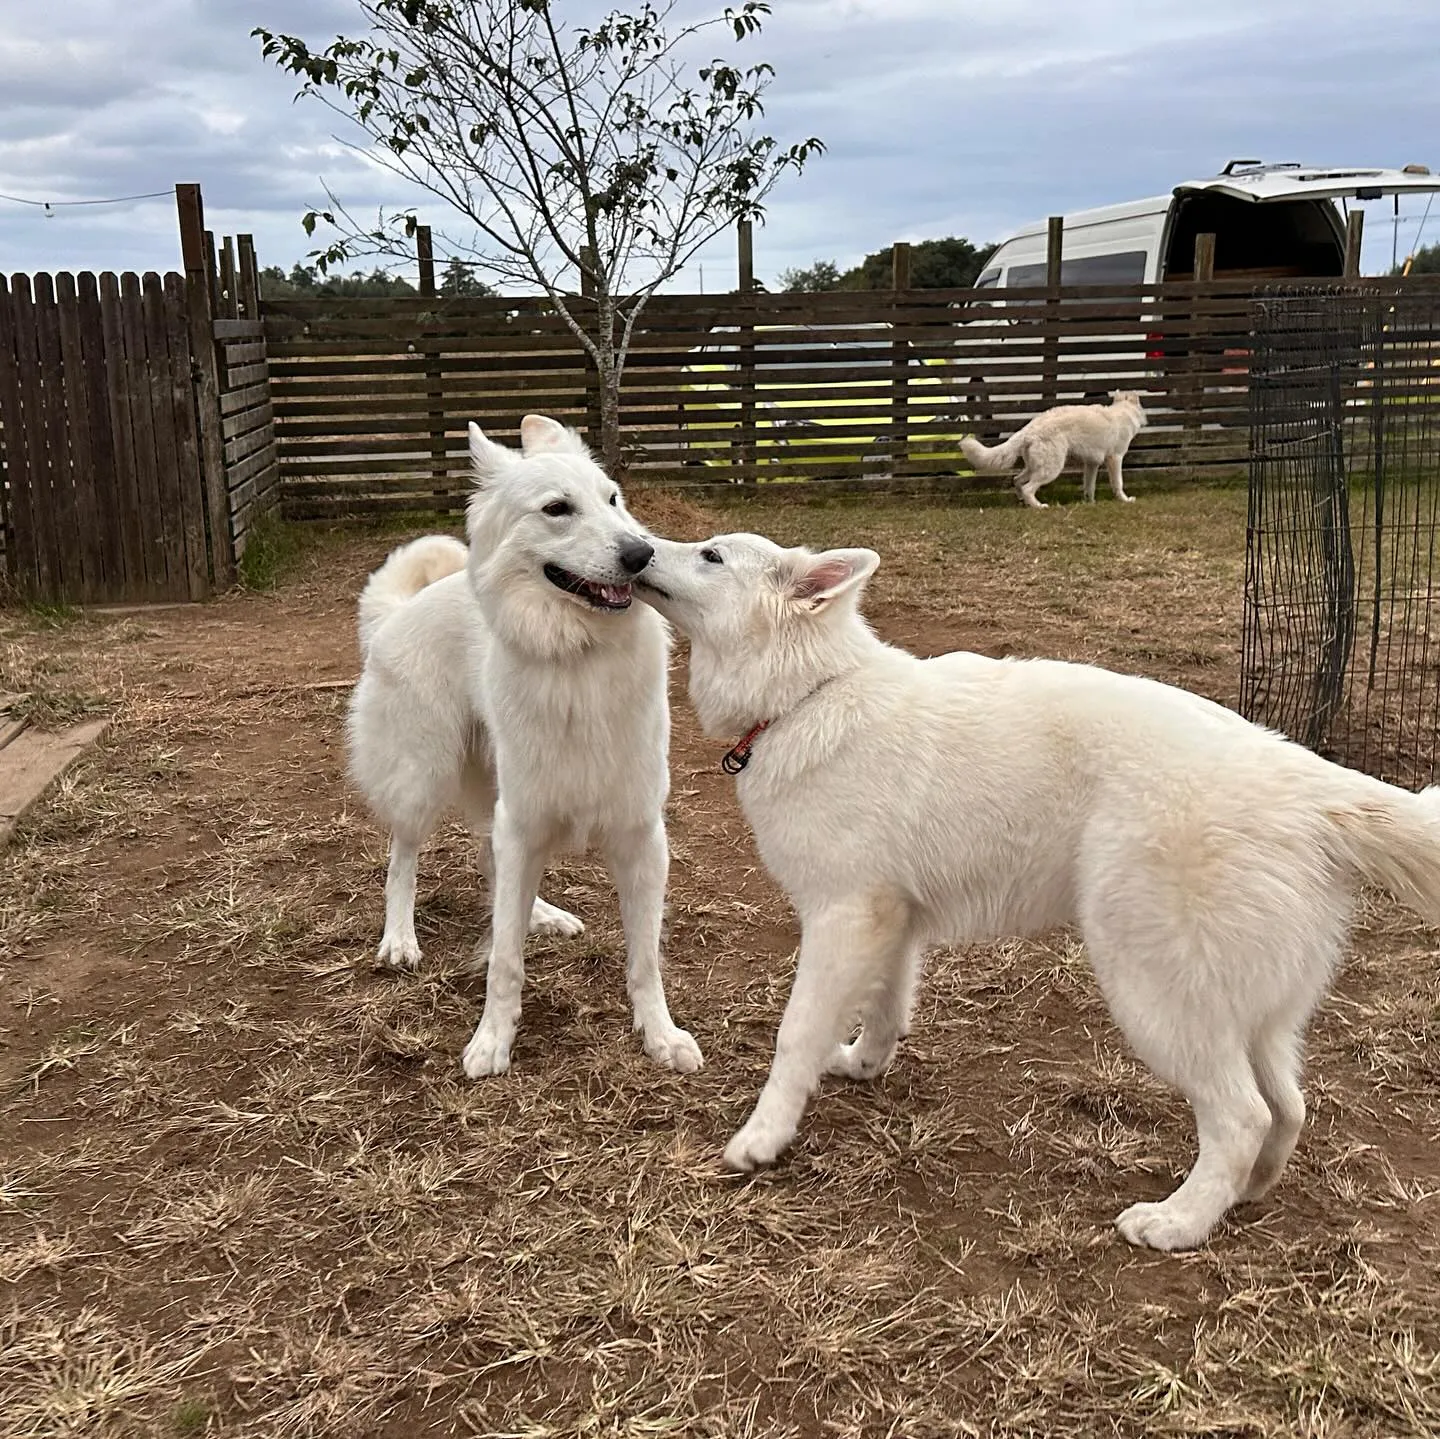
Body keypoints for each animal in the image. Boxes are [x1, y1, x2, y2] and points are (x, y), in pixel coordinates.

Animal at [344, 417, 702, 1083]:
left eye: (612, 499)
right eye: (558, 509)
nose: (641, 554)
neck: (578, 656)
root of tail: (395, 613)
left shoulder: (639, 833)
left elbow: (645, 957)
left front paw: (660, 1035)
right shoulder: (525, 817)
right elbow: (505, 958)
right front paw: (493, 1039)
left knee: (492, 862)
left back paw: (543, 913)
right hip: (424, 780)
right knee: (403, 860)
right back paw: (400, 939)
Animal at [961, 391, 1152, 509]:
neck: (1124, 412)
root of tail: (1028, 429)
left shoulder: (1091, 464)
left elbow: (1089, 486)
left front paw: (1090, 503)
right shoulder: (1115, 458)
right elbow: (1118, 483)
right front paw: (1125, 500)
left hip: (1035, 467)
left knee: (1017, 481)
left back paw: (1025, 502)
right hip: (1051, 469)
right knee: (1028, 488)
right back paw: (1039, 506)